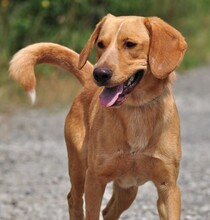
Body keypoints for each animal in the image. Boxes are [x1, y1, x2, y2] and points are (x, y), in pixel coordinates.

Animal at [9, 13, 187, 220]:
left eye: (130, 44)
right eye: (100, 44)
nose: (99, 74)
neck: (136, 110)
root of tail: (88, 85)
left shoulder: (168, 188)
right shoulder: (95, 179)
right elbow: (91, 211)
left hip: (128, 189)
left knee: (108, 211)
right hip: (79, 170)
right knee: (74, 200)